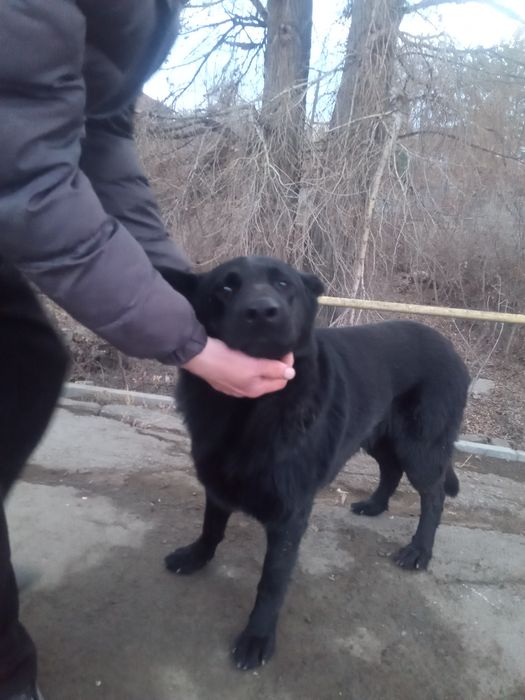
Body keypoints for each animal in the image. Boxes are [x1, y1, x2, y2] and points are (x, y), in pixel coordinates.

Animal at [158, 256, 470, 670]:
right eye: (225, 288)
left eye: (283, 283)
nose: (263, 311)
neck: (249, 410)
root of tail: (449, 347)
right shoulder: (218, 482)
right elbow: (211, 528)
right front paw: (196, 557)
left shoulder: (290, 516)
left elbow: (271, 581)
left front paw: (257, 638)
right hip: (376, 436)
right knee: (390, 469)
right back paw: (374, 505)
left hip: (419, 447)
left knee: (433, 495)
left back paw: (419, 550)